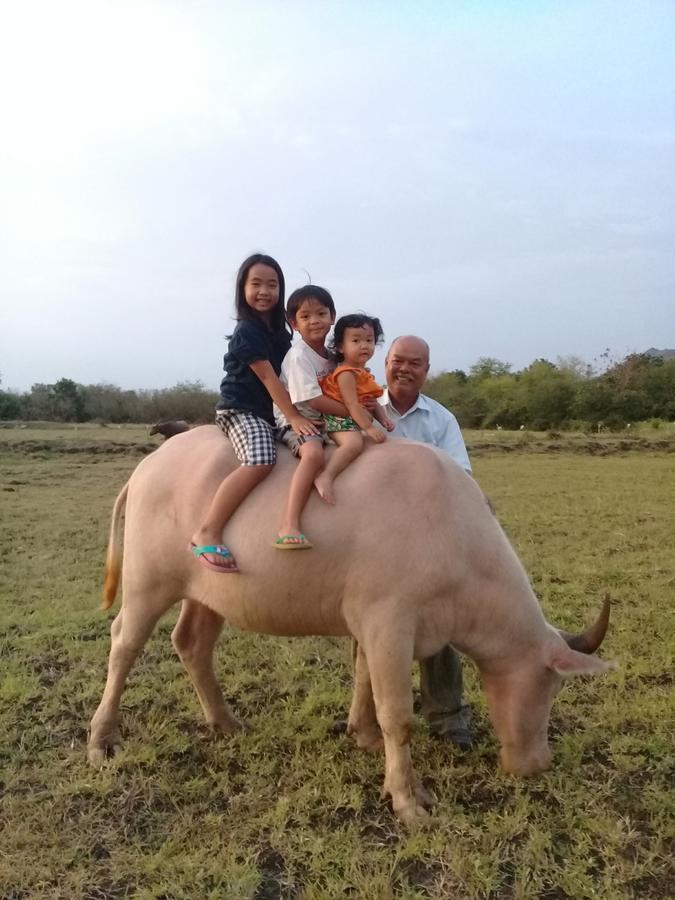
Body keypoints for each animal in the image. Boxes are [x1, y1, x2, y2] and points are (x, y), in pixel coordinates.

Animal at [87, 426, 616, 828]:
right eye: (552, 686)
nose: (538, 765)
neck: (453, 535)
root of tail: (150, 465)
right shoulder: (390, 623)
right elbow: (398, 716)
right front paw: (407, 799)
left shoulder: (372, 627)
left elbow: (365, 683)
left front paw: (362, 736)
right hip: (147, 585)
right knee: (124, 645)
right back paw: (102, 739)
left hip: (209, 591)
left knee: (191, 644)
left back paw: (225, 721)